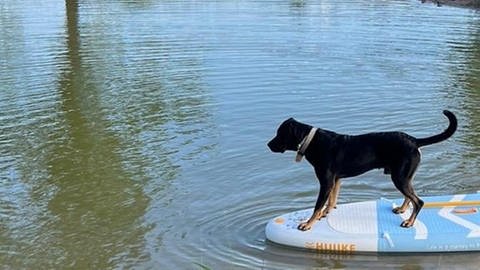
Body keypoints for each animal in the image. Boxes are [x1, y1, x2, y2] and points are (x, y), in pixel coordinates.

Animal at [268, 110, 456, 231]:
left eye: (279, 134)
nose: (268, 145)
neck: (313, 141)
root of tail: (414, 140)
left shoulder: (326, 182)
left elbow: (318, 205)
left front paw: (308, 224)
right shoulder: (336, 180)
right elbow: (331, 201)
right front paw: (325, 213)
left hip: (399, 177)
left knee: (419, 201)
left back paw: (409, 222)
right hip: (405, 176)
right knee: (410, 197)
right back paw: (402, 210)